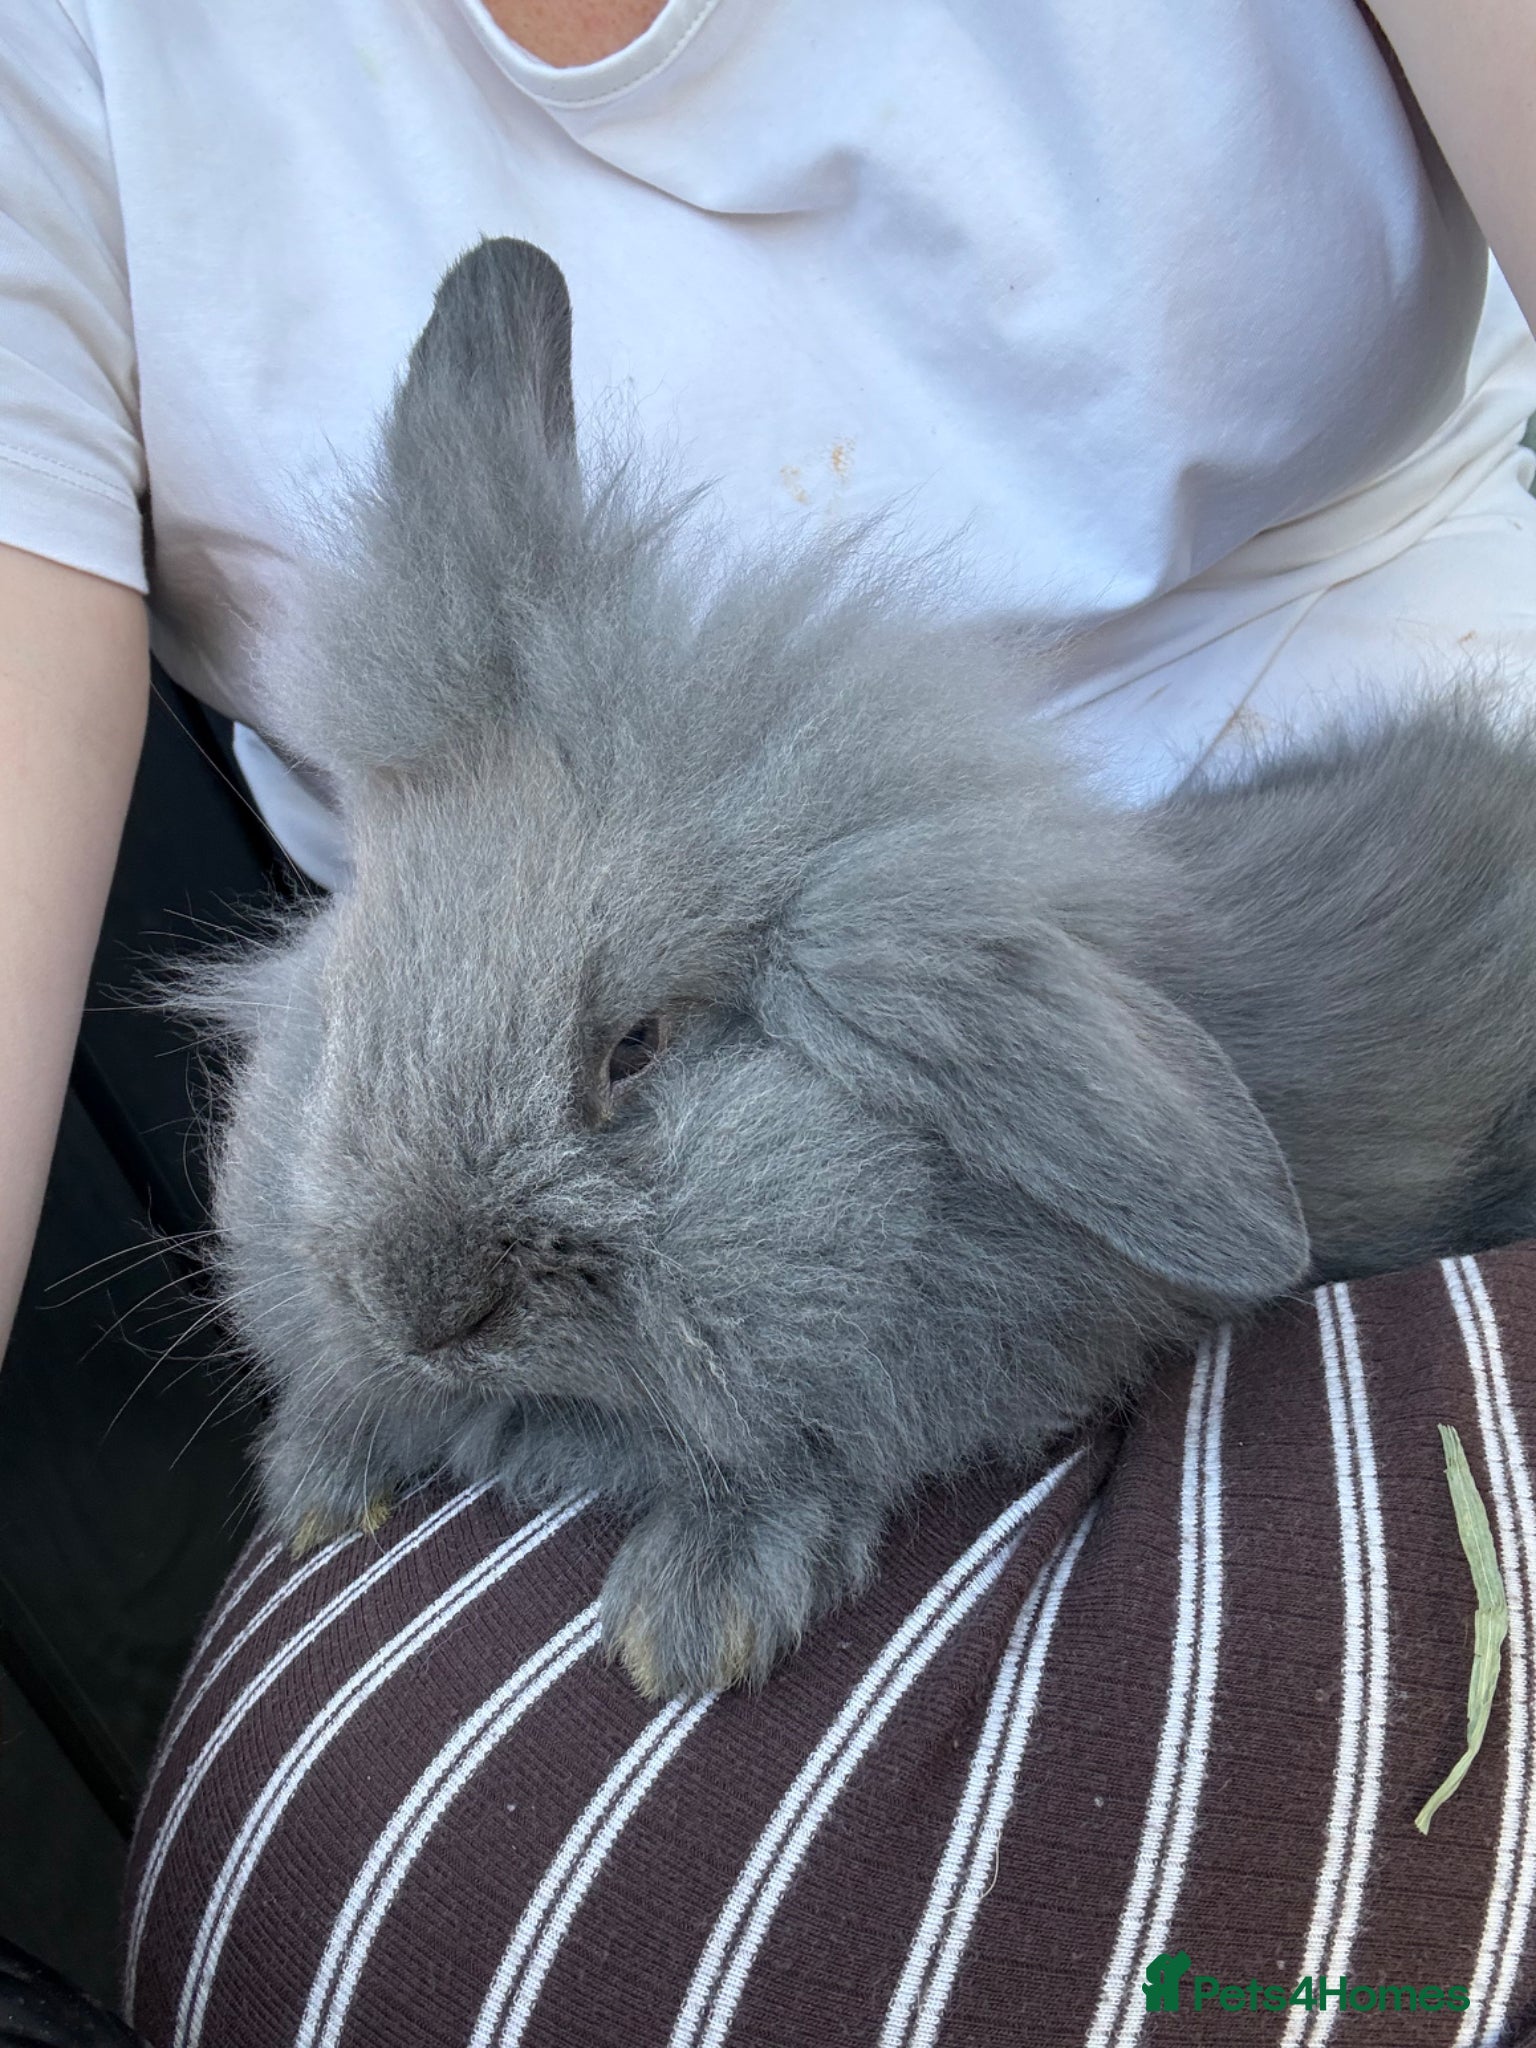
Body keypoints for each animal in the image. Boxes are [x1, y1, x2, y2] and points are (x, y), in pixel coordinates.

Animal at [183, 237, 1536, 1701]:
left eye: (637, 1045)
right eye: (349, 995)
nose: (423, 1310)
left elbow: (830, 1439)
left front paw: (689, 1616)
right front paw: (322, 1473)